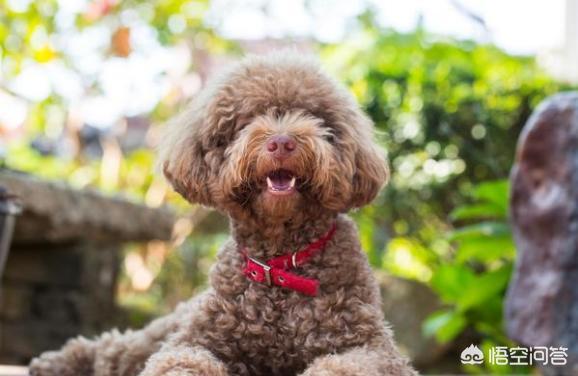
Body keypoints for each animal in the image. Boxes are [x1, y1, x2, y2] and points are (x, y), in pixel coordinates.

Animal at [29, 51, 414, 374]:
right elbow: (180, 359)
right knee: (113, 348)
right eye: (248, 120)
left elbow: (344, 363)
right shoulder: (193, 338)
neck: (278, 266)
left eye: (314, 117)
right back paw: (55, 362)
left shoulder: (373, 346)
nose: (282, 142)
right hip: (163, 329)